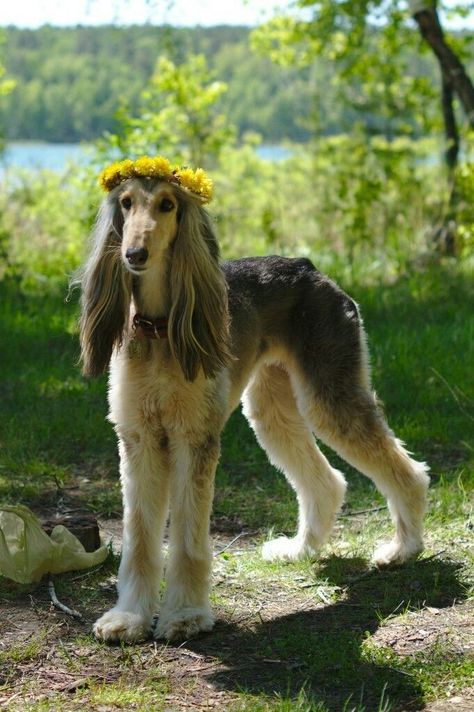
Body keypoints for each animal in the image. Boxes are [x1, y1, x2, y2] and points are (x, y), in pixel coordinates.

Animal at [78, 167, 430, 644]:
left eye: (167, 205)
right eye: (127, 203)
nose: (135, 253)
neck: (158, 328)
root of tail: (309, 268)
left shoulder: (194, 438)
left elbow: (187, 537)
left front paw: (185, 615)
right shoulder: (138, 438)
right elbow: (139, 538)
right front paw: (129, 617)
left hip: (329, 395)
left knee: (408, 472)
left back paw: (403, 548)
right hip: (271, 408)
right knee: (327, 482)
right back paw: (300, 549)